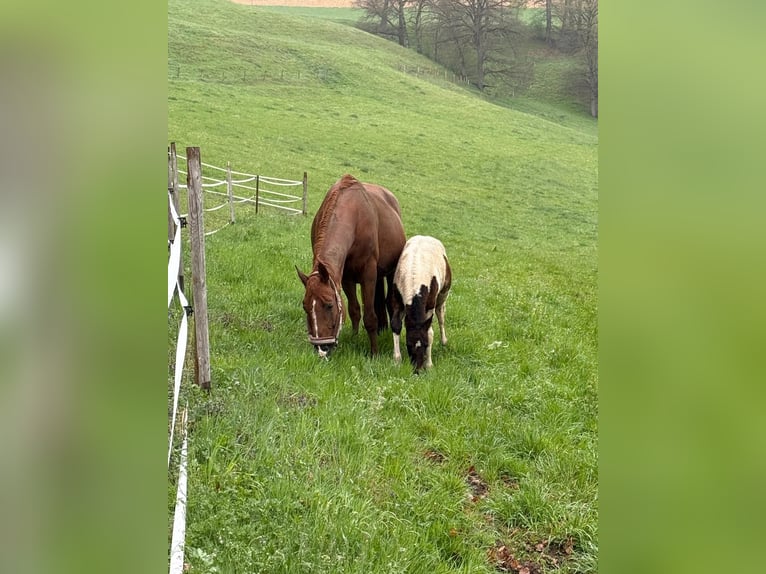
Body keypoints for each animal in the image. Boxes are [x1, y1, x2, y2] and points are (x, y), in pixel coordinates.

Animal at [296, 174, 406, 358]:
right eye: (305, 306)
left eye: (329, 304)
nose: (322, 349)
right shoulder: (346, 277)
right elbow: (354, 310)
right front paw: (354, 338)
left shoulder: (368, 274)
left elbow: (369, 317)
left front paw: (374, 353)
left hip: (391, 272)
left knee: (390, 303)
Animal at [391, 235, 452, 372]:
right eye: (408, 344)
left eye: (425, 344)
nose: (417, 369)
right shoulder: (398, 301)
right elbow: (396, 325)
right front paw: (397, 360)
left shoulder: (429, 307)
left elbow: (429, 332)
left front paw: (429, 365)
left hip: (443, 295)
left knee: (441, 315)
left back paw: (444, 341)